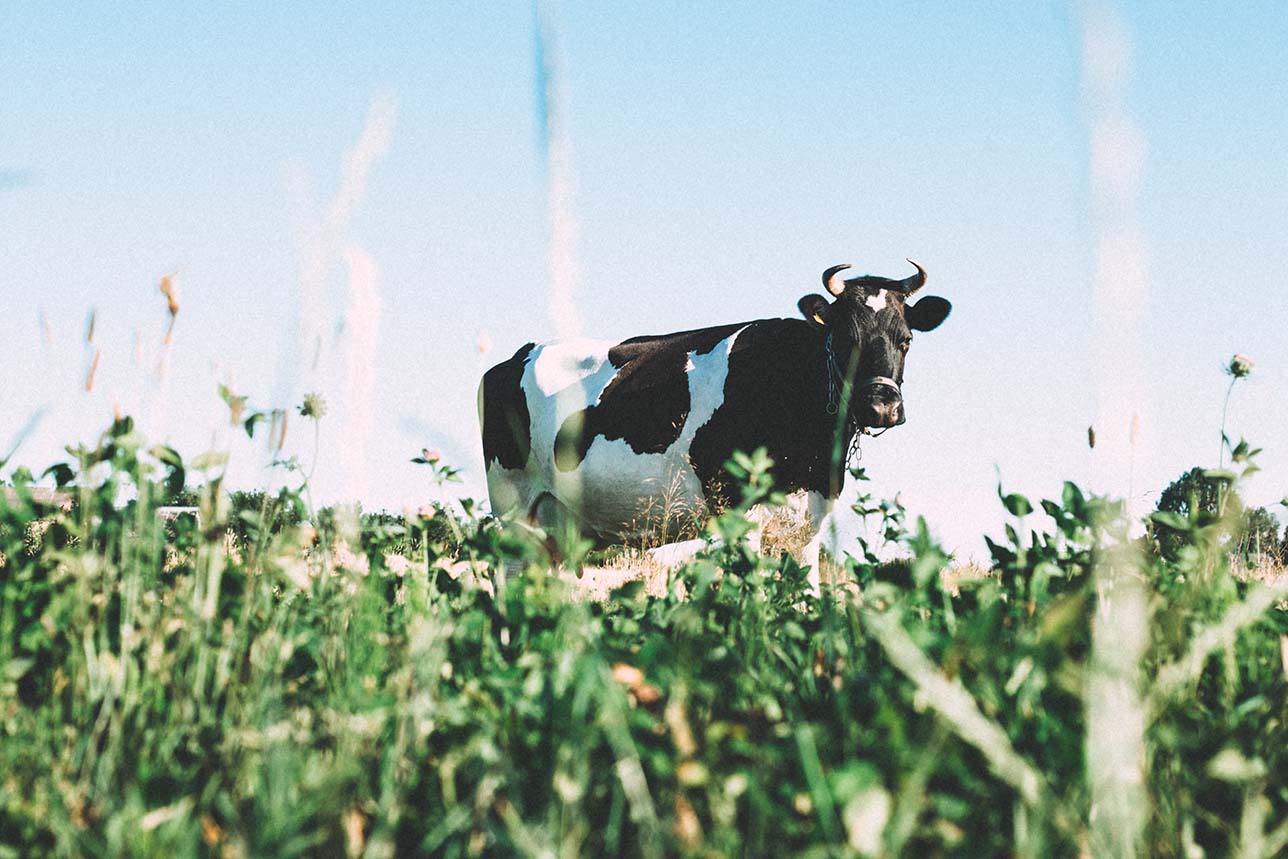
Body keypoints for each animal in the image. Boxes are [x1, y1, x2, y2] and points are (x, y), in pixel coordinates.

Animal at [478, 260, 951, 590]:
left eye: (906, 339)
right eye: (846, 339)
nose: (881, 406)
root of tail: (514, 357)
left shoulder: (811, 517)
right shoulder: (740, 507)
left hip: (557, 527)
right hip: (513, 507)